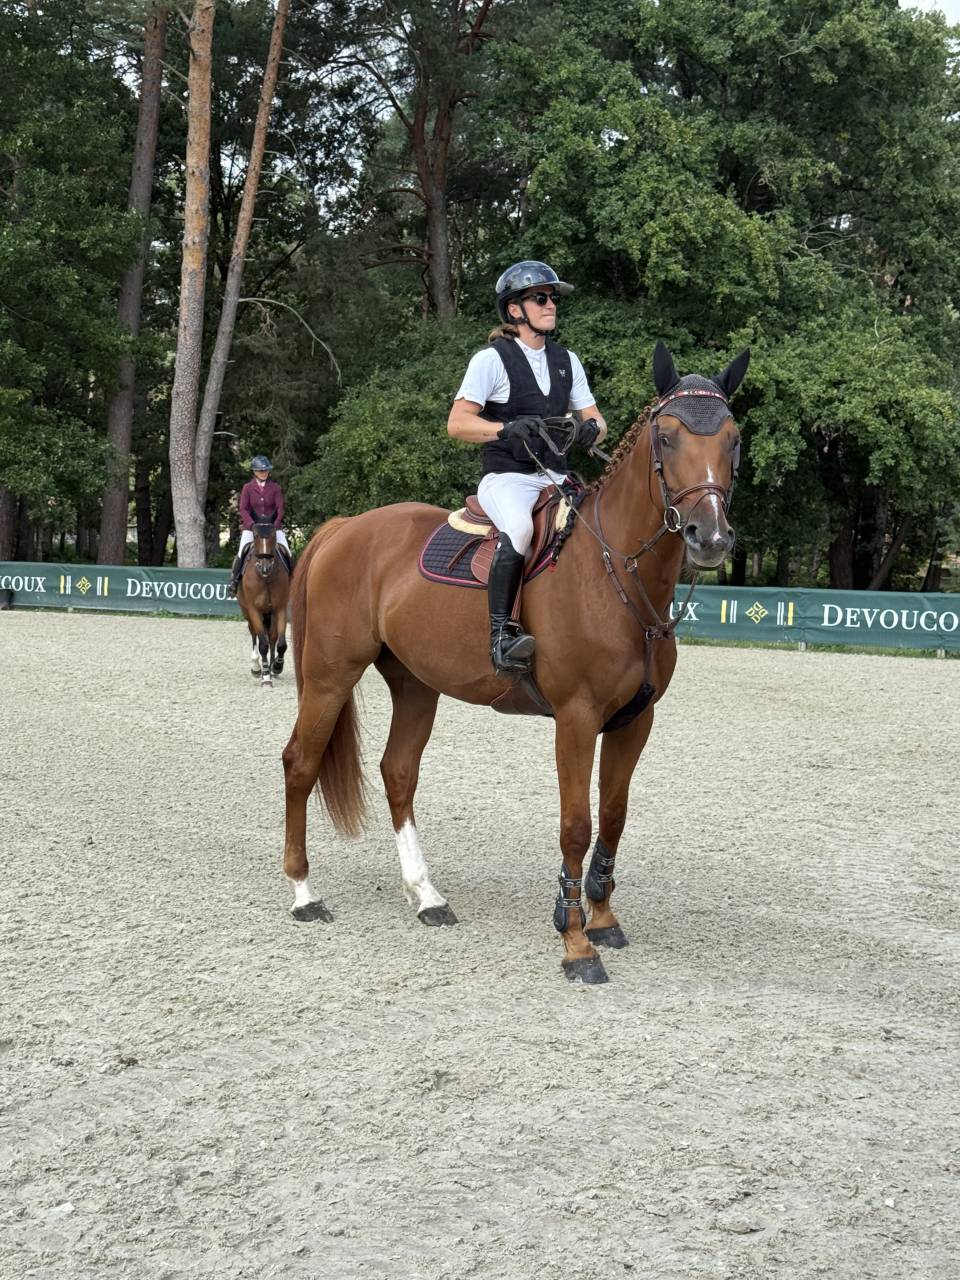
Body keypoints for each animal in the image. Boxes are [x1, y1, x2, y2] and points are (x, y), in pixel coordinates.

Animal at [236, 520, 291, 685]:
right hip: (247, 611)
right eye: (255, 536)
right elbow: (263, 644)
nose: (265, 567)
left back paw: (272, 667)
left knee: (272, 637)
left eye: (273, 536)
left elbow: (281, 644)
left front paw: (277, 667)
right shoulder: (254, 610)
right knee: (255, 634)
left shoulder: (280, 609)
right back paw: (256, 667)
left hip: (270, 614)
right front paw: (265, 675)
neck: (266, 579)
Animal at [281, 341, 748, 982]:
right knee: (300, 764)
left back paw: (426, 897)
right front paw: (575, 941)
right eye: (667, 436)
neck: (616, 572)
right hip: (330, 676)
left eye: (733, 437)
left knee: (398, 773)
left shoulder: (635, 720)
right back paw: (304, 894)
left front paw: (603, 918)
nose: (711, 538)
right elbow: (576, 826)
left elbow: (614, 815)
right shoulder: (576, 718)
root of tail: (345, 528)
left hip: (415, 683)